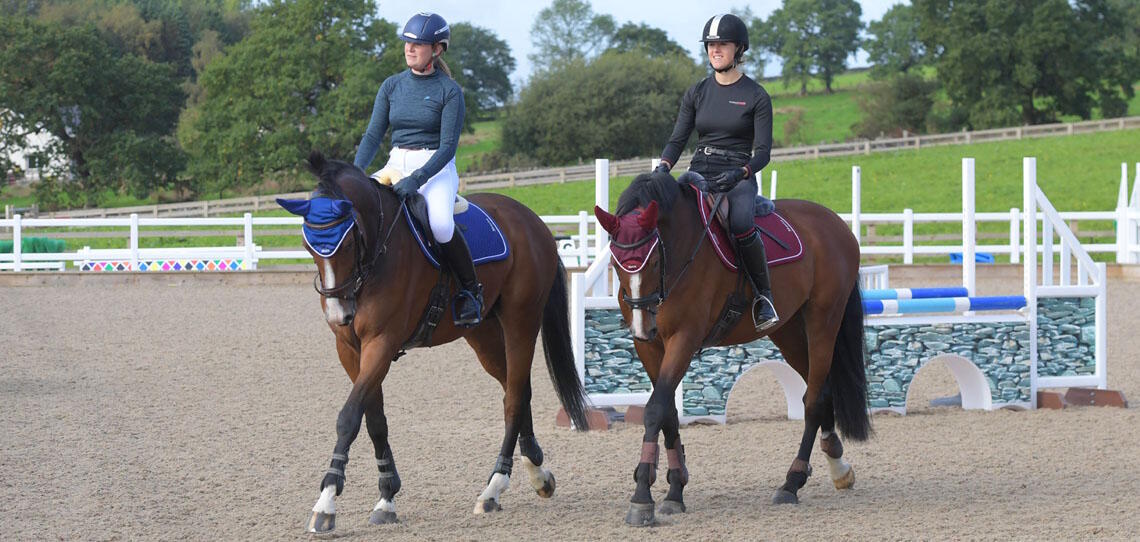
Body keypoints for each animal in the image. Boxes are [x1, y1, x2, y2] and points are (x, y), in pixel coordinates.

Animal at [280, 152, 592, 534]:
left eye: (349, 243)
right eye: (308, 246)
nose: (340, 315)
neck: (378, 251)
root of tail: (532, 220)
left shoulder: (382, 343)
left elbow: (349, 417)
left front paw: (326, 502)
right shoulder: (350, 351)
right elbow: (374, 419)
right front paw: (386, 496)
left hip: (521, 321)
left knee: (515, 397)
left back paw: (493, 489)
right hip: (482, 335)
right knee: (517, 389)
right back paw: (538, 472)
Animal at [592, 173, 866, 527]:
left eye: (651, 261)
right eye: (614, 262)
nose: (643, 324)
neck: (680, 250)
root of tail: (836, 223)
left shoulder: (684, 338)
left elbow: (654, 410)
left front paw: (642, 497)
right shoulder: (650, 347)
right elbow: (667, 412)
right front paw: (675, 490)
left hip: (823, 321)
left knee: (814, 400)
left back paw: (791, 483)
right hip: (788, 331)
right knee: (820, 390)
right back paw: (838, 466)